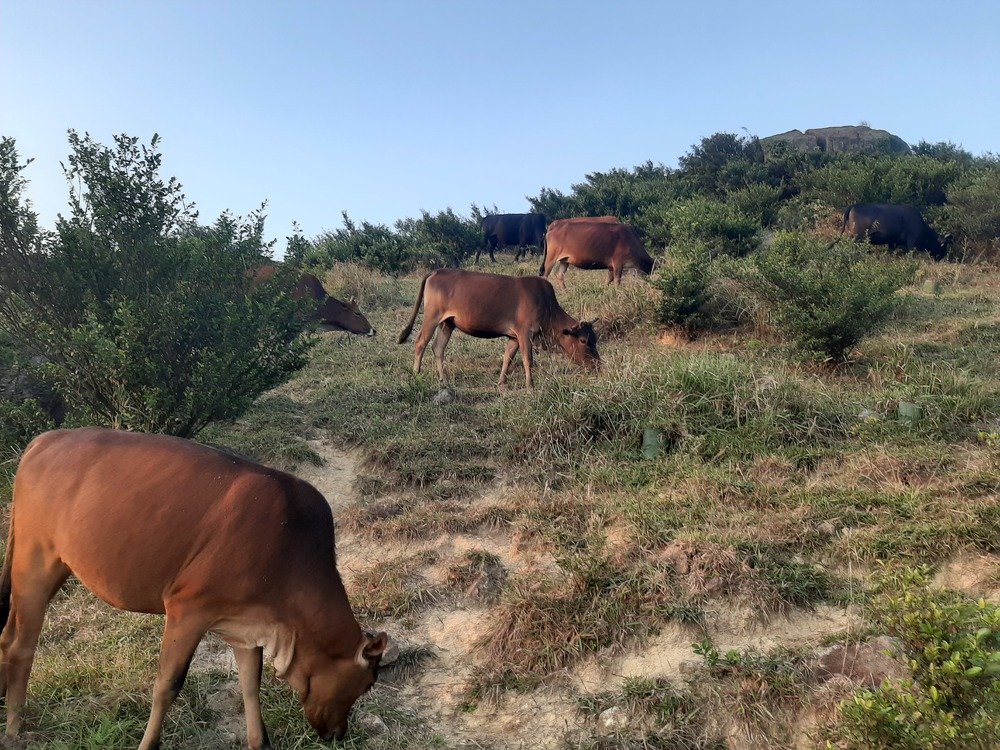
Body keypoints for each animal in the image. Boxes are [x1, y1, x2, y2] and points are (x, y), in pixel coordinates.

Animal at [0, 428, 388, 749]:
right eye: (368, 683)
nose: (338, 734)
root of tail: (45, 439)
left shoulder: (246, 623)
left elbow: (250, 686)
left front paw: (259, 742)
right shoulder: (187, 609)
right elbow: (167, 685)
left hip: (55, 567)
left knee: (7, 634)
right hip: (35, 562)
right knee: (22, 645)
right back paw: (14, 727)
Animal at [397, 269, 599, 389]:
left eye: (595, 339)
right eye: (583, 341)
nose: (597, 365)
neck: (546, 305)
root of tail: (436, 271)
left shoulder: (514, 337)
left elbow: (507, 358)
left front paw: (502, 382)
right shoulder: (525, 333)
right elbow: (528, 360)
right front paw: (530, 385)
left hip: (448, 323)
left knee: (438, 347)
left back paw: (444, 380)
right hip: (431, 318)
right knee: (420, 343)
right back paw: (416, 374)